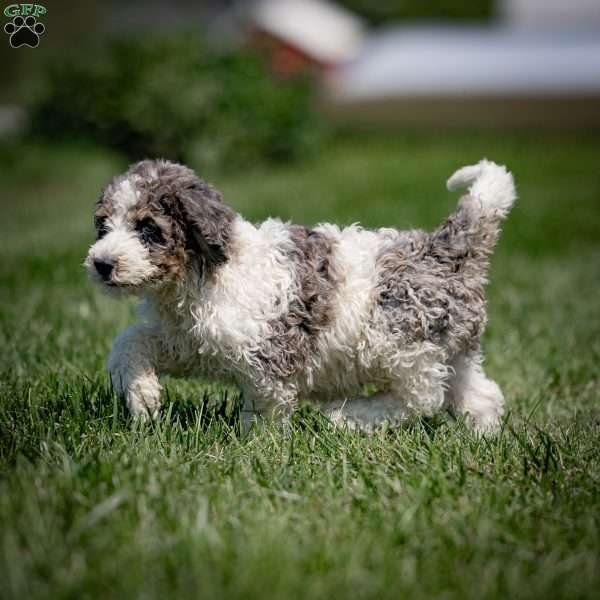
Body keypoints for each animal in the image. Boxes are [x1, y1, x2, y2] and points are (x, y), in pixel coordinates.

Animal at [84, 159, 516, 432]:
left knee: (422, 398)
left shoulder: (268, 356)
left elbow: (266, 407)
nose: (102, 264)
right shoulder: (185, 341)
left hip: (400, 342)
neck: (201, 273)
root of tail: (445, 248)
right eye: (103, 225)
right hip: (453, 350)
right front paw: (142, 399)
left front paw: (257, 447)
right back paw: (482, 438)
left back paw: (347, 416)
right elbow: (129, 342)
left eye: (148, 230)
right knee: (480, 393)